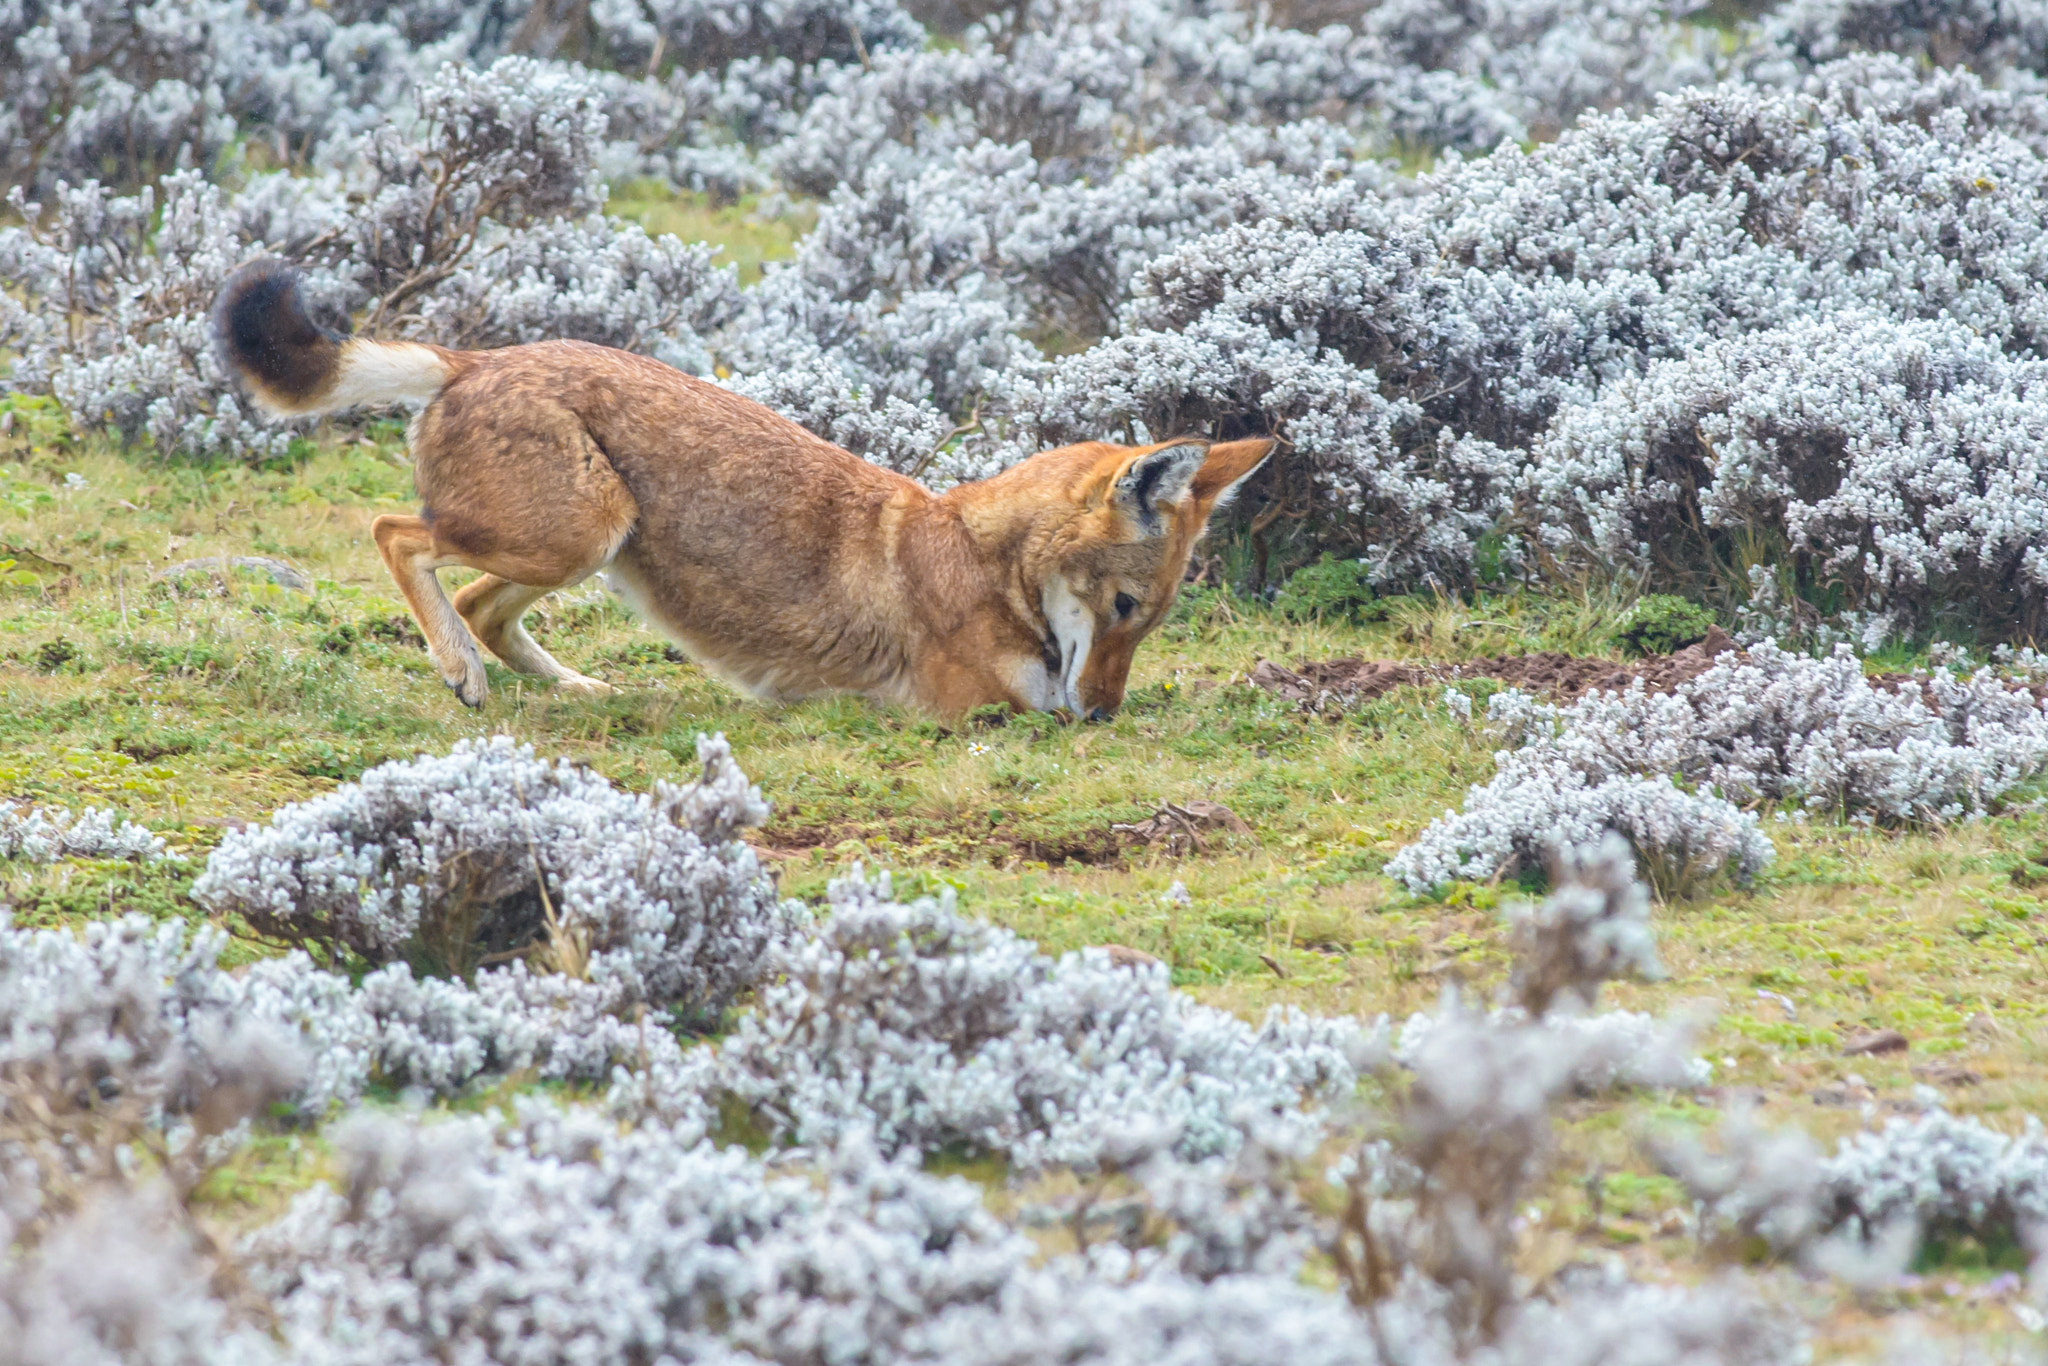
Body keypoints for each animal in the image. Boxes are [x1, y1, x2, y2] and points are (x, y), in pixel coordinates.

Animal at [207, 260, 1261, 720]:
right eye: (1121, 607)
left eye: (1150, 621)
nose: (1106, 715)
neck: (974, 554)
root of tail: (478, 357)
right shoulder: (972, 711)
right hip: (577, 534)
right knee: (397, 533)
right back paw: (461, 672)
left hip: (591, 547)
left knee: (477, 604)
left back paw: (574, 686)